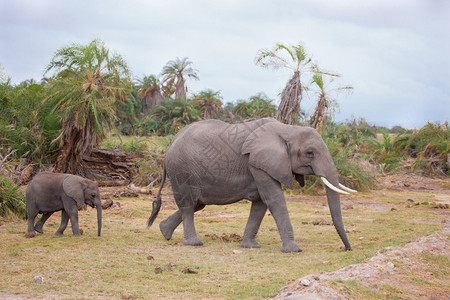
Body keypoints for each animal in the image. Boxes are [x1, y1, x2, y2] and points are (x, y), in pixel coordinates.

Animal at [148, 118, 356, 252]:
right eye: (310, 153)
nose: (347, 249)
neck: (287, 129)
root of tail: (170, 144)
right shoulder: (257, 162)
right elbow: (273, 198)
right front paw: (294, 250)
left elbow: (261, 203)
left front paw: (250, 247)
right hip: (181, 171)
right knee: (189, 204)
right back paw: (194, 243)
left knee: (197, 204)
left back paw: (164, 232)